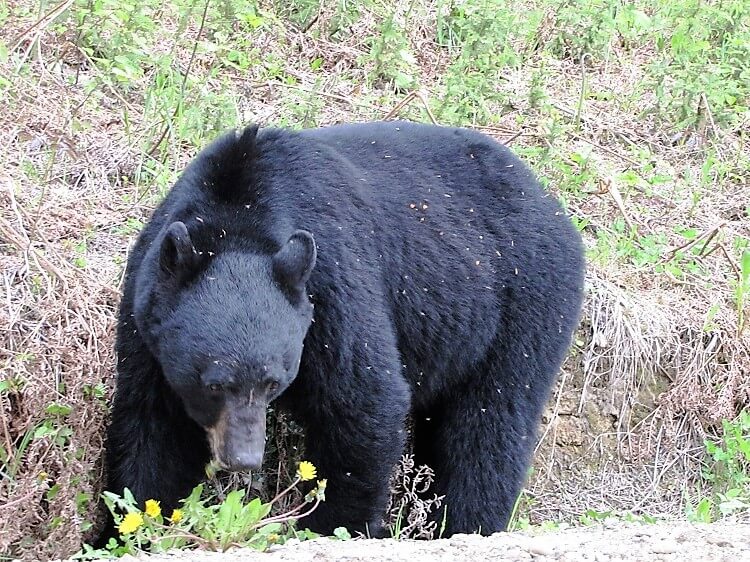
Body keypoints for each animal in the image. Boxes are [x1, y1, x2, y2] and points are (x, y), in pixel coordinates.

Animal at [100, 120, 588, 540]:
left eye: (272, 381)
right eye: (215, 383)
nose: (244, 458)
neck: (237, 213)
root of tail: (552, 203)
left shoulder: (332, 283)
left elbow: (362, 402)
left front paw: (334, 527)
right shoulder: (147, 310)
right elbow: (153, 425)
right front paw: (133, 528)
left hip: (523, 301)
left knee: (488, 425)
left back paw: (465, 525)